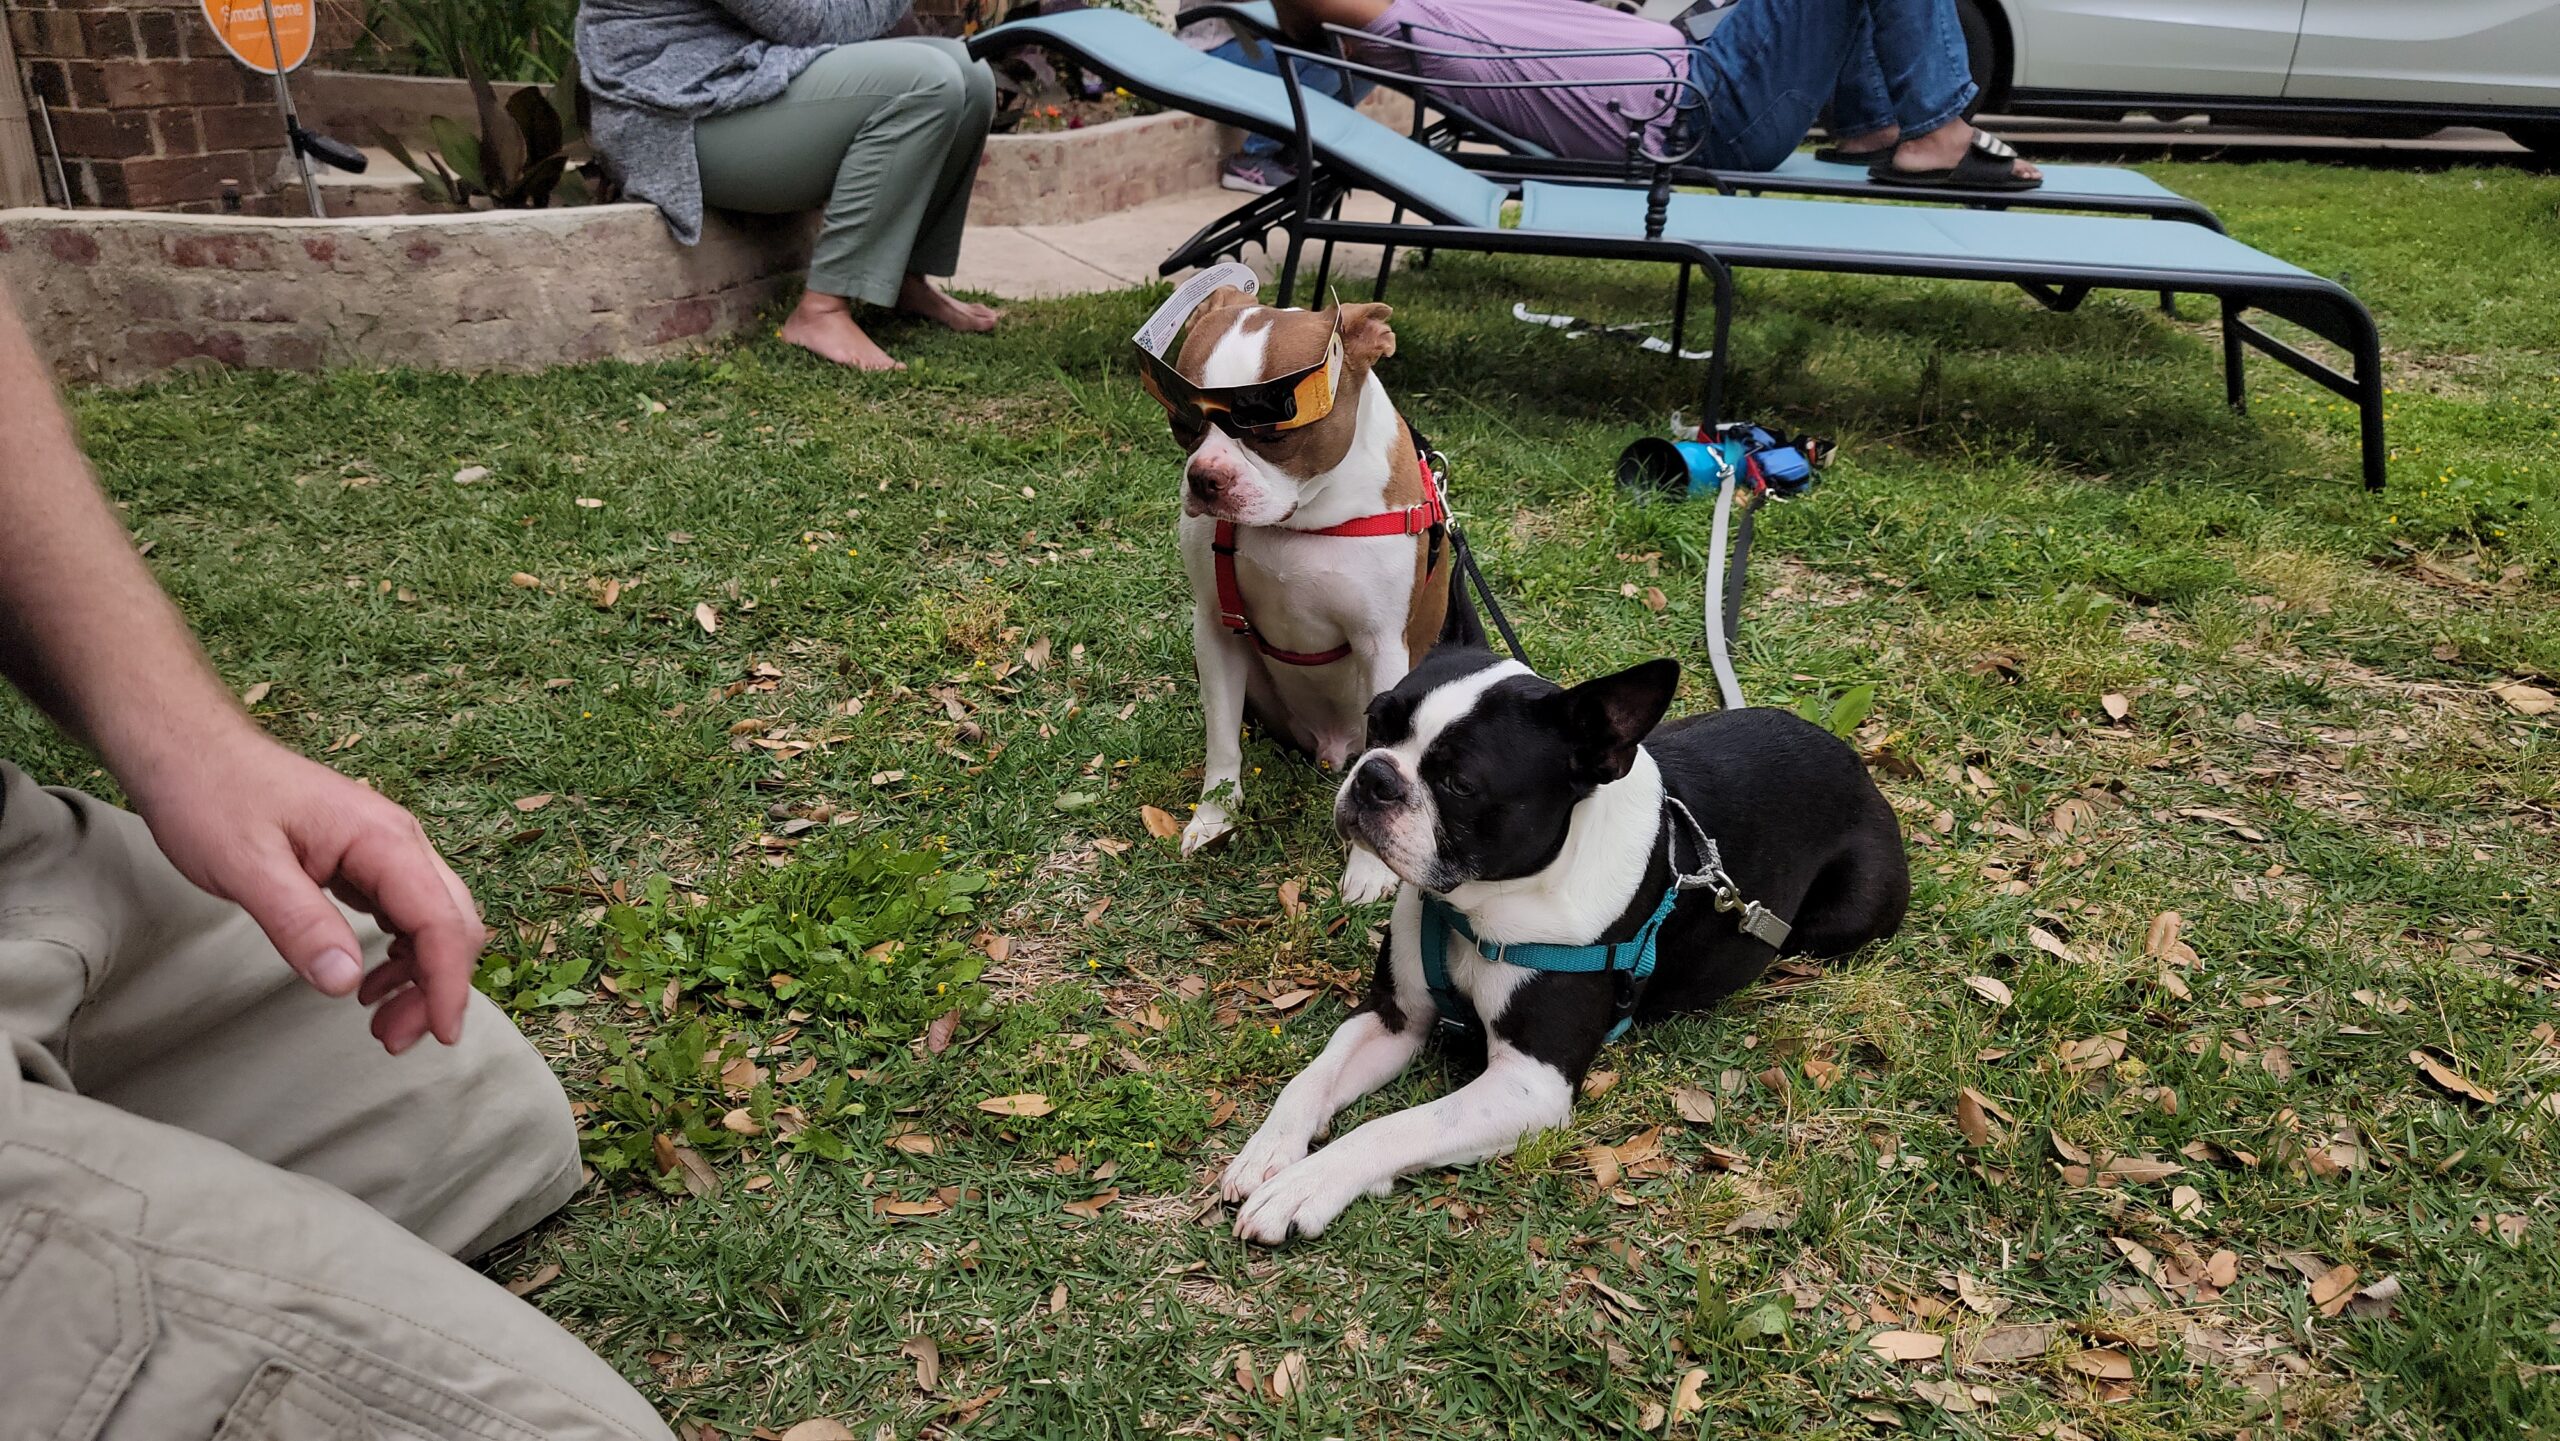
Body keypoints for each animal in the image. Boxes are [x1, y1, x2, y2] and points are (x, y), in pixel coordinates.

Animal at [1167, 285, 1484, 900]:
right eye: (1182, 421)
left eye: (1271, 429)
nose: (1204, 478)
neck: (1303, 520)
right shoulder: (1215, 628)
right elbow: (1222, 740)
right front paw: (1212, 820)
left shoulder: (1383, 646)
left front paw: (1371, 870)